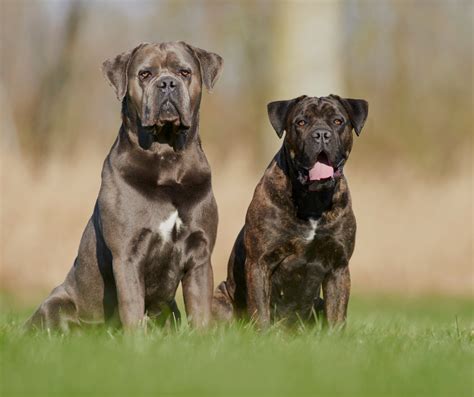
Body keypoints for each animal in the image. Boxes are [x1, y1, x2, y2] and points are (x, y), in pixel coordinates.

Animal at [26, 41, 223, 332]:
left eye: (185, 72)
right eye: (145, 74)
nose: (167, 83)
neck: (167, 157)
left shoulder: (200, 253)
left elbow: (200, 309)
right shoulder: (127, 253)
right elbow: (132, 306)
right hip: (56, 303)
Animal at [213, 94, 368, 326]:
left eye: (338, 121)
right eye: (301, 122)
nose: (321, 134)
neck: (313, 199)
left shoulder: (339, 267)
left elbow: (337, 316)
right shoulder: (259, 263)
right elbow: (260, 311)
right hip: (218, 299)